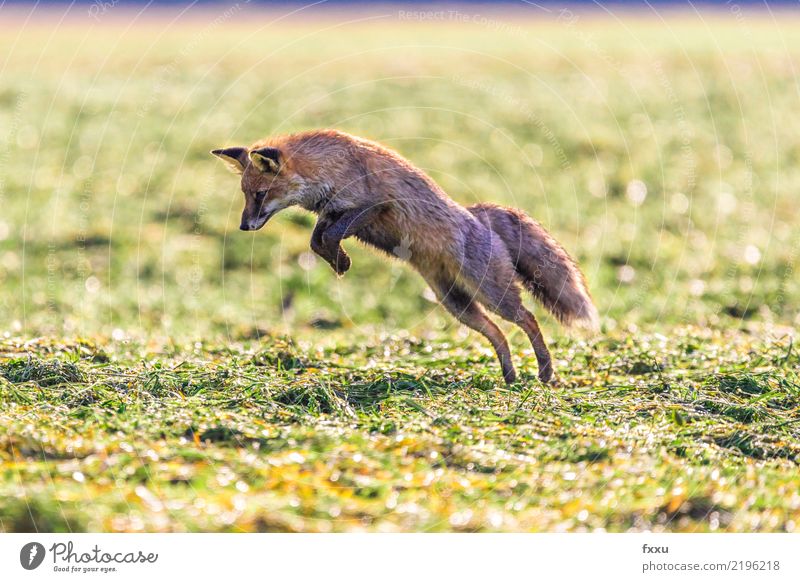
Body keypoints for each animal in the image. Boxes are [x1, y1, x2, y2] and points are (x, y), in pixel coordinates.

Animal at [212, 133, 600, 388]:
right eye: (246, 195)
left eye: (260, 194)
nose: (244, 226)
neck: (327, 168)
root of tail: (476, 214)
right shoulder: (330, 212)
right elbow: (316, 241)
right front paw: (338, 262)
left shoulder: (372, 205)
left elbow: (331, 236)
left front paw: (341, 262)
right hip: (456, 303)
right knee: (498, 333)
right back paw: (509, 375)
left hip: (491, 293)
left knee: (528, 318)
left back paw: (545, 372)